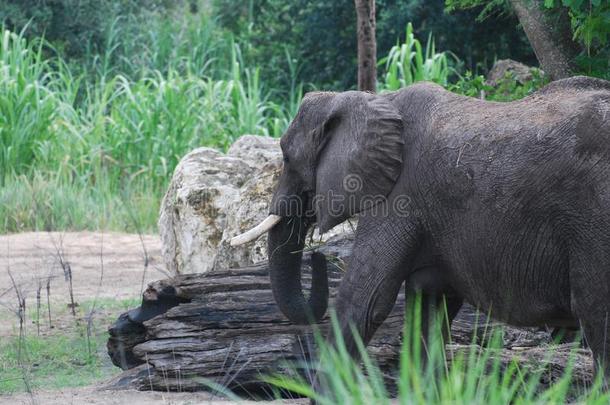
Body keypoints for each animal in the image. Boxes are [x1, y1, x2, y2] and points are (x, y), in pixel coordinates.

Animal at [229, 75, 608, 386]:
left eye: (286, 158)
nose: (318, 256)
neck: (371, 100)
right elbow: (428, 305)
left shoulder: (398, 198)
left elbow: (366, 301)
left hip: (594, 220)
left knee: (597, 317)